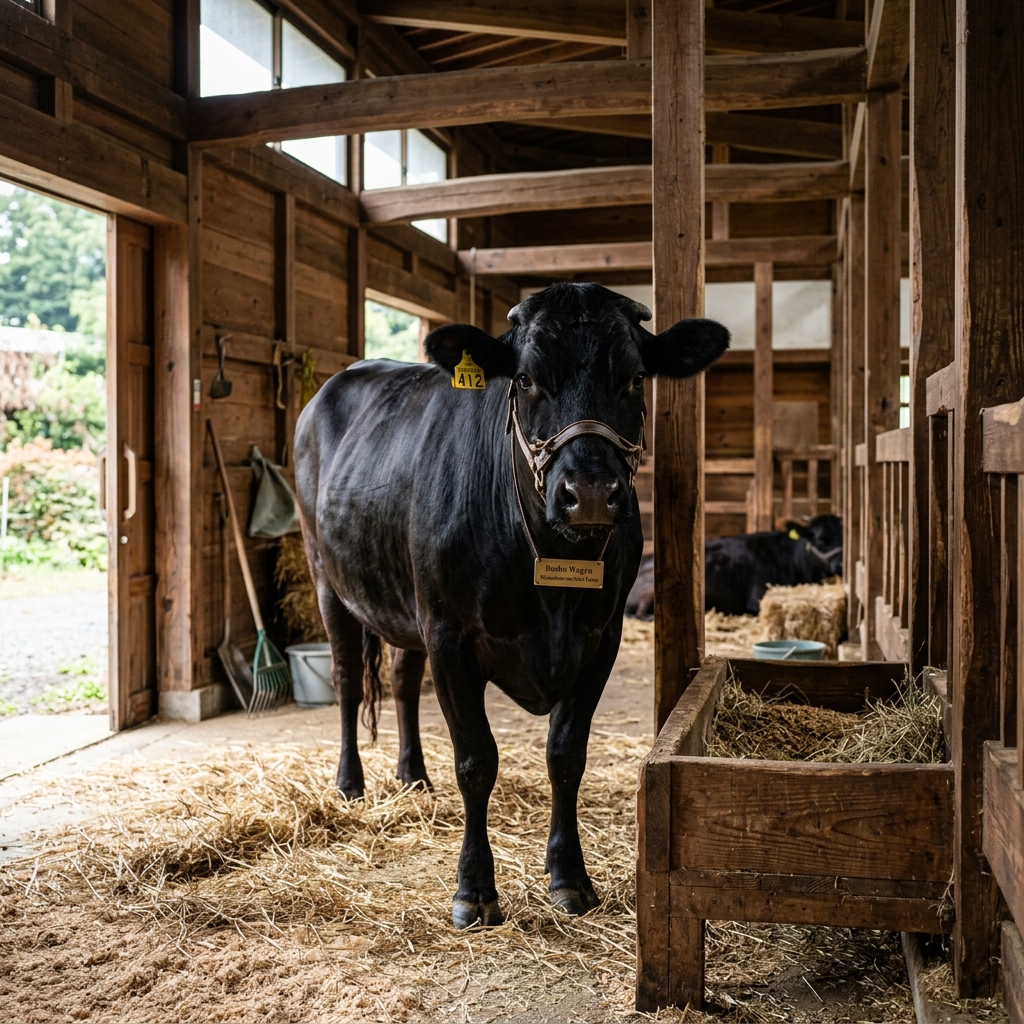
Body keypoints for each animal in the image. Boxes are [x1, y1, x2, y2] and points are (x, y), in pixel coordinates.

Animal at [294, 282, 729, 928]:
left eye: (634, 377)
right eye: (524, 378)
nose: (589, 493)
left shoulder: (600, 639)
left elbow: (566, 754)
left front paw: (569, 876)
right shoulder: (451, 636)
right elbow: (476, 760)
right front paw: (474, 889)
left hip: (405, 601)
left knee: (401, 678)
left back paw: (413, 777)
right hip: (327, 576)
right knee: (349, 678)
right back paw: (350, 784)